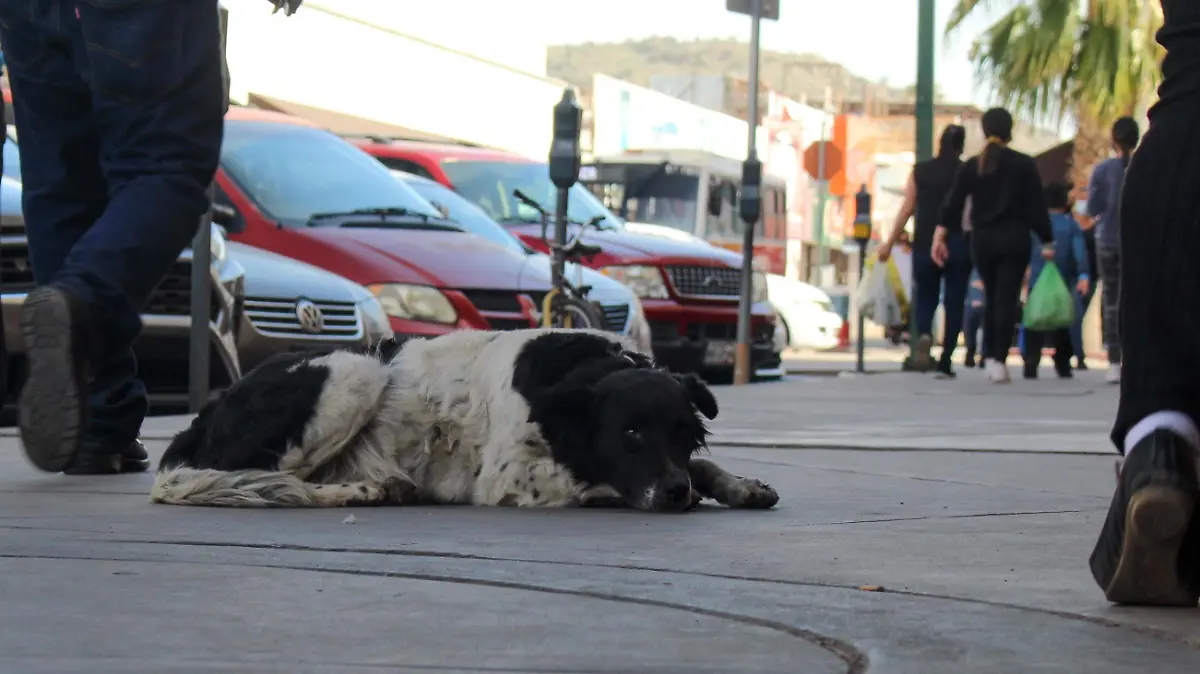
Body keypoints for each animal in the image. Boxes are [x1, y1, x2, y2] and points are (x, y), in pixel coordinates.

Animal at [150, 328, 782, 510]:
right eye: (630, 433)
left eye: (684, 433)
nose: (674, 495)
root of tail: (199, 419)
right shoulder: (507, 477)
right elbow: (593, 482)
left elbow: (705, 468)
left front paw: (738, 483)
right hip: (354, 371)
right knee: (268, 479)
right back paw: (364, 490)